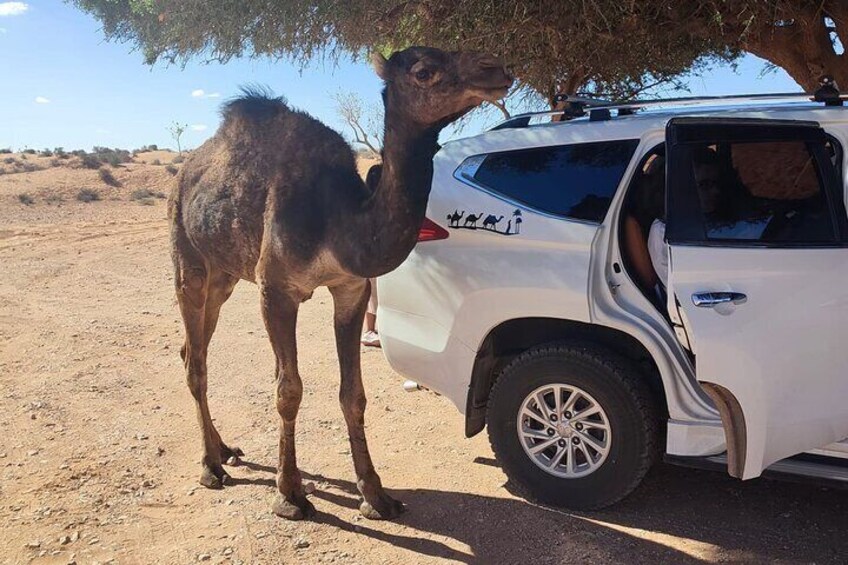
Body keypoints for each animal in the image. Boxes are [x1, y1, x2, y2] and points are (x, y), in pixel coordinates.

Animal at [168, 46, 506, 524]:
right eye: (424, 71)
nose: (496, 70)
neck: (339, 222)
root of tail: (183, 175)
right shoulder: (276, 289)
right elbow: (288, 390)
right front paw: (289, 495)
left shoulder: (352, 288)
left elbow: (354, 394)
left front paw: (375, 494)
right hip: (188, 259)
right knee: (195, 361)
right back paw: (210, 467)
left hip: (225, 276)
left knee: (191, 349)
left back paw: (225, 449)